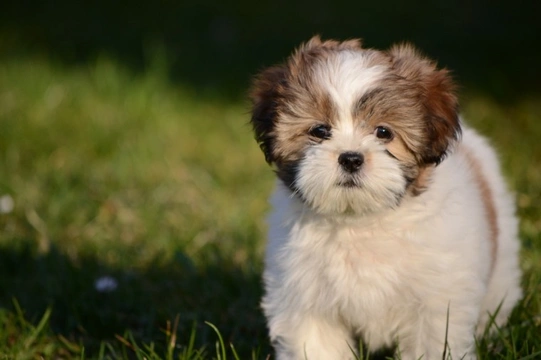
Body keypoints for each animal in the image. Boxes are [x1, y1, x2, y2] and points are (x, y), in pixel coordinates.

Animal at [248, 37, 520, 360]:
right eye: (319, 130)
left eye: (383, 132)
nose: (351, 158)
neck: (361, 222)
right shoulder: (306, 300)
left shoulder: (436, 302)